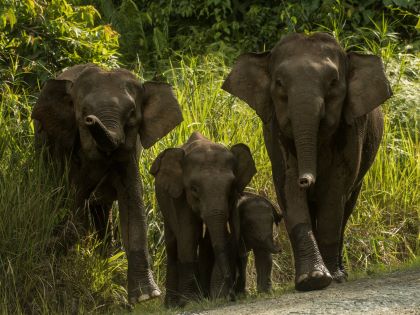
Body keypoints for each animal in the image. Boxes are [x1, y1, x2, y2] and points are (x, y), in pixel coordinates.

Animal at [31, 63, 182, 304]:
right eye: (84, 113)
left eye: (131, 114)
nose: (91, 120)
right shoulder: (63, 149)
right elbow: (73, 199)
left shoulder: (129, 155)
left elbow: (132, 207)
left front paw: (145, 297)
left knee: (102, 209)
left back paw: (105, 257)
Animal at [151, 132, 256, 308]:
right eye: (194, 189)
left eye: (231, 187)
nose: (232, 296)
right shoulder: (179, 195)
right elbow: (188, 234)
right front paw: (189, 302)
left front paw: (217, 296)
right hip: (163, 201)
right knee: (173, 242)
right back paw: (172, 305)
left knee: (205, 240)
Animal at [223, 33, 394, 292]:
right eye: (279, 83)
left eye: (333, 82)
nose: (306, 180)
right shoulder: (274, 129)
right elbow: (288, 186)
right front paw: (311, 280)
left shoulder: (353, 128)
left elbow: (335, 191)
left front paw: (329, 278)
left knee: (346, 206)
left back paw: (340, 273)